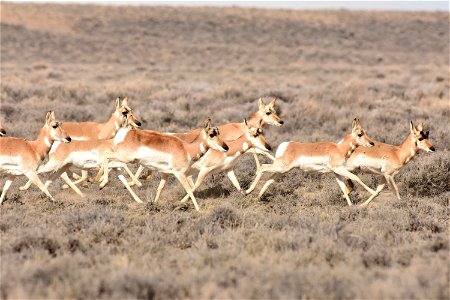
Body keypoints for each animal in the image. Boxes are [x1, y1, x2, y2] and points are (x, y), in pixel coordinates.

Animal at [101, 118, 229, 211]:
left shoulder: (165, 173)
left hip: (126, 158)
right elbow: (188, 189)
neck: (185, 148)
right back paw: (103, 183)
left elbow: (160, 188)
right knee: (106, 156)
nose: (226, 147)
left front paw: (154, 203)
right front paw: (198, 209)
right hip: (126, 157)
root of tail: (126, 132)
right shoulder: (179, 174)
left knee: (111, 162)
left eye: (219, 132)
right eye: (212, 134)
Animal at [244, 118, 384, 205]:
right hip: (281, 167)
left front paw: (350, 206)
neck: (338, 148)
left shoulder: (336, 173)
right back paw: (248, 191)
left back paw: (255, 197)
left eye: (365, 132)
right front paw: (374, 193)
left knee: (269, 180)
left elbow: (344, 188)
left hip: (282, 170)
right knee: (263, 167)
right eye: (360, 134)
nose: (372, 143)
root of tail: (287, 144)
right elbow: (356, 178)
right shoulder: (339, 170)